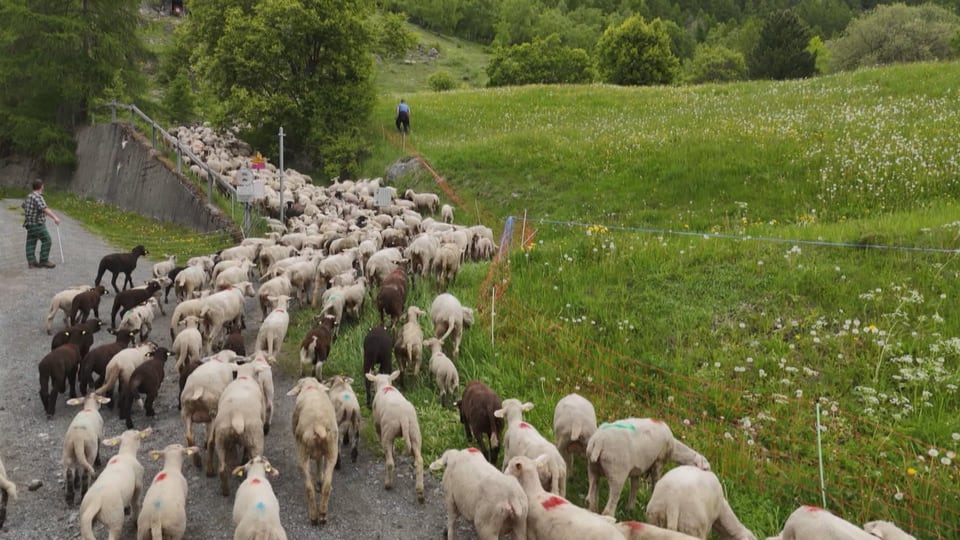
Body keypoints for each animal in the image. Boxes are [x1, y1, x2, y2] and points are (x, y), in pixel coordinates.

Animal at [286, 378, 340, 524]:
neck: (311, 387)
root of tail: (318, 425)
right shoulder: (323, 452)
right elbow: (320, 462)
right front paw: (319, 482)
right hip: (332, 450)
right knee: (327, 484)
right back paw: (323, 513)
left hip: (302, 453)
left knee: (308, 488)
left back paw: (314, 516)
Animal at [364, 372, 424, 502]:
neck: (384, 385)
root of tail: (403, 417)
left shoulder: (377, 425)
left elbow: (379, 436)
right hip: (414, 432)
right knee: (420, 460)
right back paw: (420, 492)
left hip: (389, 430)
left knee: (390, 462)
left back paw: (388, 484)